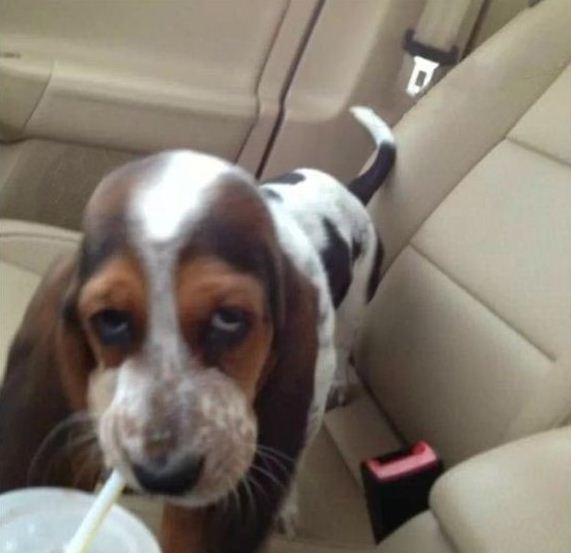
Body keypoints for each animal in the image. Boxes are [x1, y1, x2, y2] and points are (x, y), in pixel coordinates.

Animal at [0, 107, 394, 552]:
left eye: (230, 318)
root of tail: (346, 188)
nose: (162, 475)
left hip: (353, 308)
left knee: (343, 351)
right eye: (110, 319)